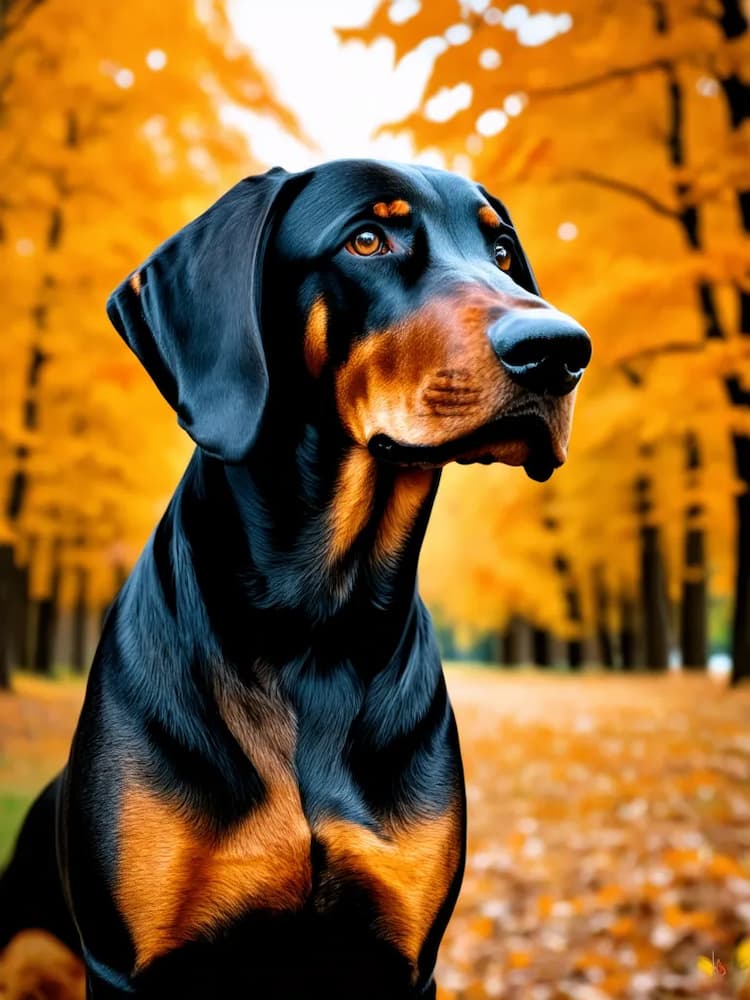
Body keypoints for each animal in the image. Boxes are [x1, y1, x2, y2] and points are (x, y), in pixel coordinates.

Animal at [1, 160, 592, 996]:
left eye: (502, 252)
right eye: (367, 240)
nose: (559, 349)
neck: (316, 621)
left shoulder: (405, 957)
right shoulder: (125, 964)